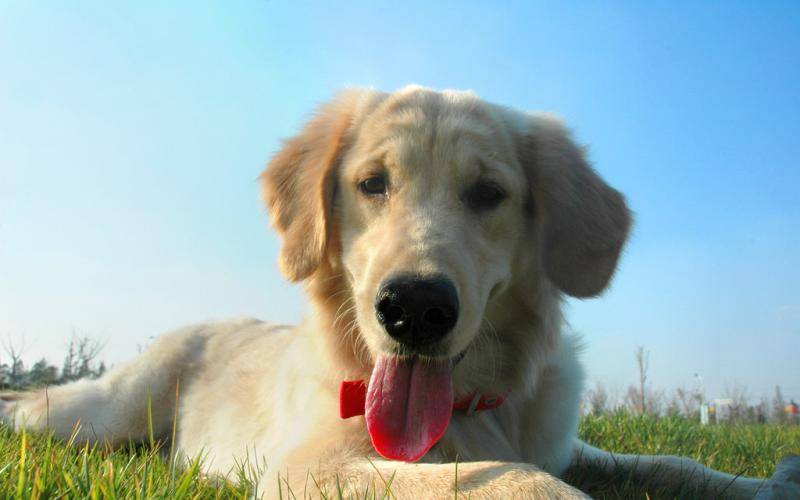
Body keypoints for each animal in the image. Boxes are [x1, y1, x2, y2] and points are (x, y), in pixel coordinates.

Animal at [1, 85, 800, 496]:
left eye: (488, 193)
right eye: (372, 184)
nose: (414, 309)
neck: (473, 409)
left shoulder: (565, 443)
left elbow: (673, 463)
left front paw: (769, 484)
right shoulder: (307, 468)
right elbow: (496, 480)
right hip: (99, 413)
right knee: (33, 410)